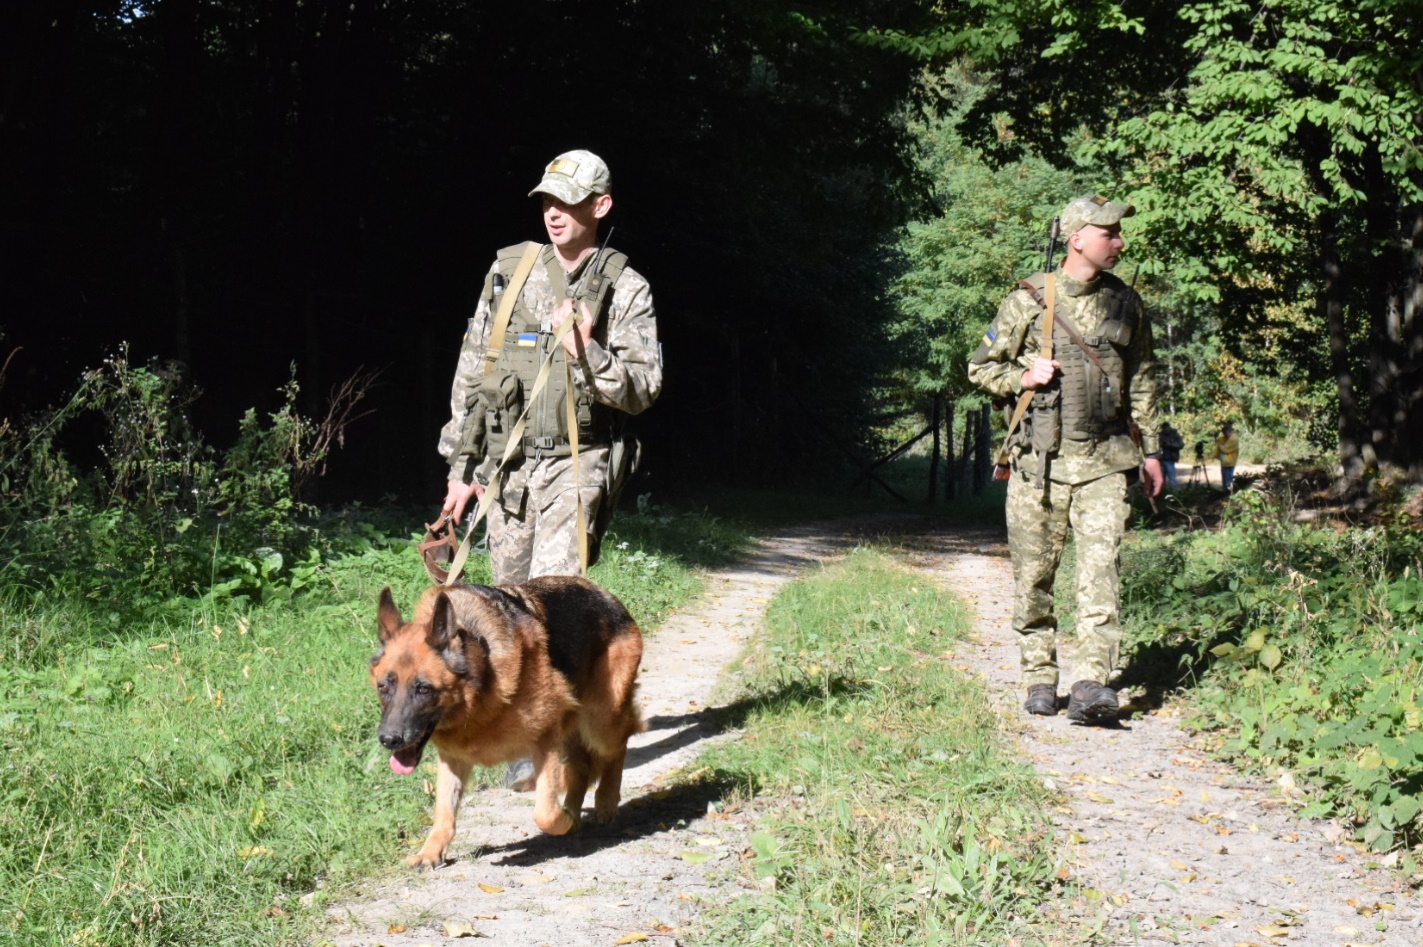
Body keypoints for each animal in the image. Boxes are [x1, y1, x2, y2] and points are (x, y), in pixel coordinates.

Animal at [369, 572, 643, 865]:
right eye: (384, 687)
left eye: (424, 689)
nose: (389, 739)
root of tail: (606, 595)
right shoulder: (453, 758)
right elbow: (444, 812)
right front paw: (430, 851)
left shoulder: (547, 741)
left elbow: (545, 814)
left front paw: (564, 820)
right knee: (581, 769)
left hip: (601, 723)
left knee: (617, 748)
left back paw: (605, 800)